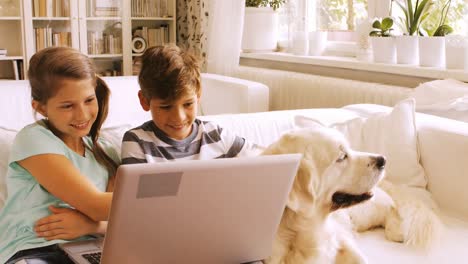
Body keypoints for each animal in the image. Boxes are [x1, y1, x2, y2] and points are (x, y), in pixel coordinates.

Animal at [264, 126, 442, 264]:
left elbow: (359, 257)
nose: (383, 160)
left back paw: (397, 230)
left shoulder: (341, 237)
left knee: (391, 206)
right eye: (342, 157)